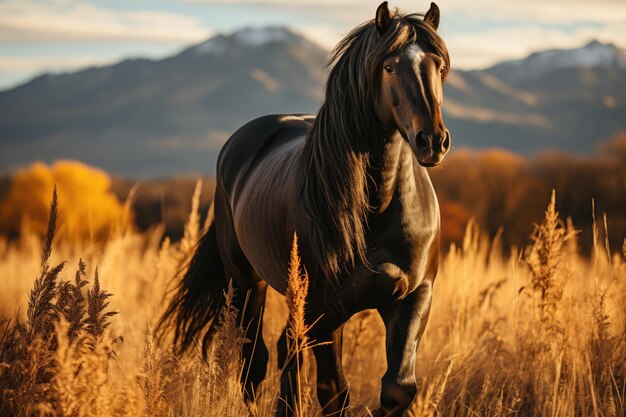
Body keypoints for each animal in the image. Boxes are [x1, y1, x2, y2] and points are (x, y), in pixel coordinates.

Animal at [158, 2, 450, 412]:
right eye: (390, 66)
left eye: (439, 66)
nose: (432, 141)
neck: (378, 209)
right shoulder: (324, 308)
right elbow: (334, 392)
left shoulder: (413, 297)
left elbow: (398, 388)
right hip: (247, 282)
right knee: (258, 360)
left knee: (284, 351)